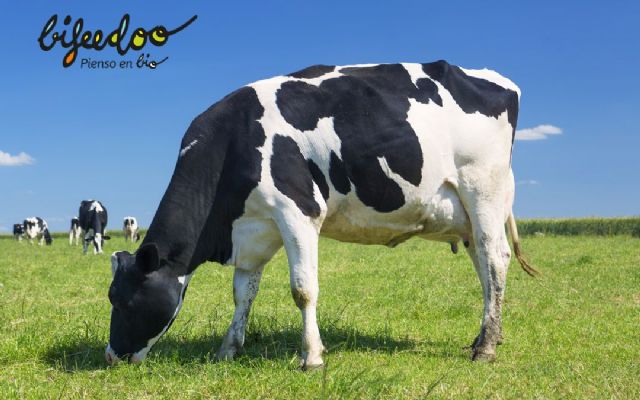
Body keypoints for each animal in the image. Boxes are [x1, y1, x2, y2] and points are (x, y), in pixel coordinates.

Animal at [106, 61, 538, 368]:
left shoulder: (298, 212)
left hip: (482, 189)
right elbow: (242, 293)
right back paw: (488, 336)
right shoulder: (254, 228)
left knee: (496, 260)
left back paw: (485, 348)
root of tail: (494, 78)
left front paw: (311, 357)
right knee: (484, 268)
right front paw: (228, 349)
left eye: (123, 301)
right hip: (468, 214)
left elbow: (303, 289)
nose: (111, 356)